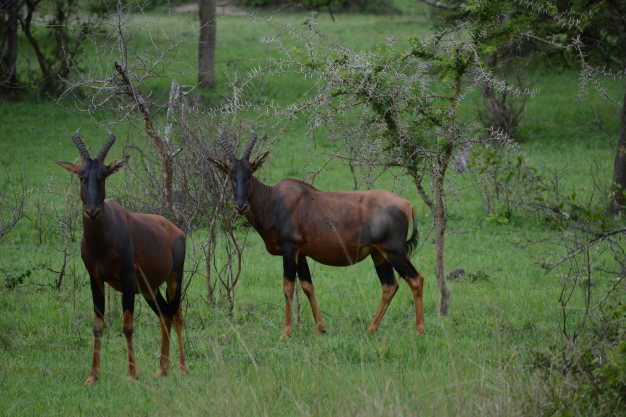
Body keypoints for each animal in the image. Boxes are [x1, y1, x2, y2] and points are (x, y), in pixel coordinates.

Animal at [56, 132, 185, 382]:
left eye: (104, 175)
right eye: (81, 176)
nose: (92, 211)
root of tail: (175, 230)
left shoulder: (127, 280)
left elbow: (127, 326)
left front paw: (132, 375)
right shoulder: (95, 279)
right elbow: (98, 325)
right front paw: (92, 377)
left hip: (174, 279)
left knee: (176, 315)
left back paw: (183, 368)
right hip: (149, 288)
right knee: (164, 314)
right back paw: (162, 369)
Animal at [207, 128, 426, 336]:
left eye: (250, 172)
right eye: (230, 174)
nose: (241, 206)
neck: (275, 200)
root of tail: (407, 204)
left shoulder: (290, 249)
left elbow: (288, 287)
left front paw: (285, 333)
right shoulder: (301, 253)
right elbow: (307, 286)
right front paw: (321, 329)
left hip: (394, 251)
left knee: (415, 279)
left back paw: (419, 330)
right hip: (378, 253)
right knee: (389, 286)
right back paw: (371, 329)